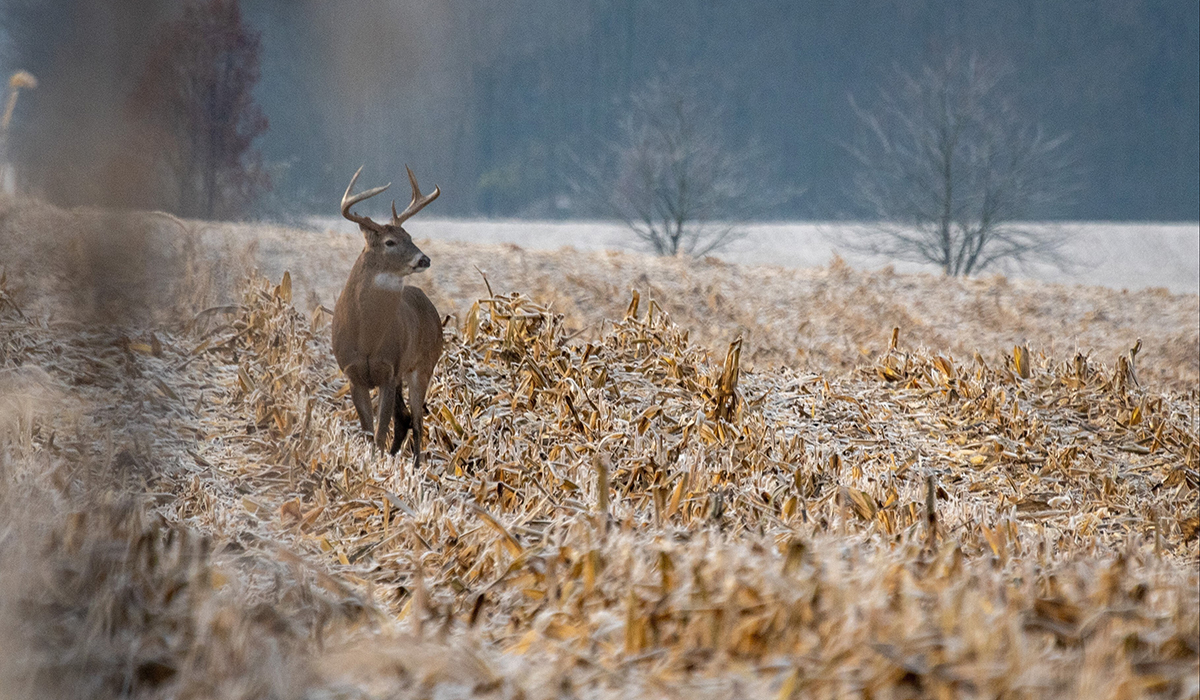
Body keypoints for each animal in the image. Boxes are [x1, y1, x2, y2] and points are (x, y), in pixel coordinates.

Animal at [332, 165, 443, 466]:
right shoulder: (353, 373)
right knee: (404, 418)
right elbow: (369, 431)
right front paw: (370, 462)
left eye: (411, 238)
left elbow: (380, 431)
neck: (366, 338)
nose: (424, 259)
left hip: (422, 365)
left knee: (417, 421)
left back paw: (417, 466)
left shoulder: (389, 371)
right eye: (390, 242)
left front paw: (378, 464)